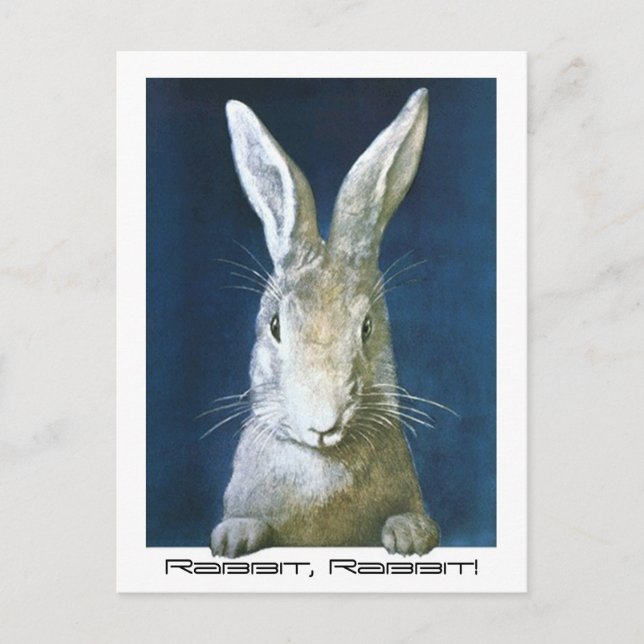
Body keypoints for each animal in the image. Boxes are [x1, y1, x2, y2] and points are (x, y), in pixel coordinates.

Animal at [210, 88, 440, 558]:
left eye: (367, 327)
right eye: (276, 326)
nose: (323, 424)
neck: (322, 460)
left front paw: (409, 534)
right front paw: (232, 537)